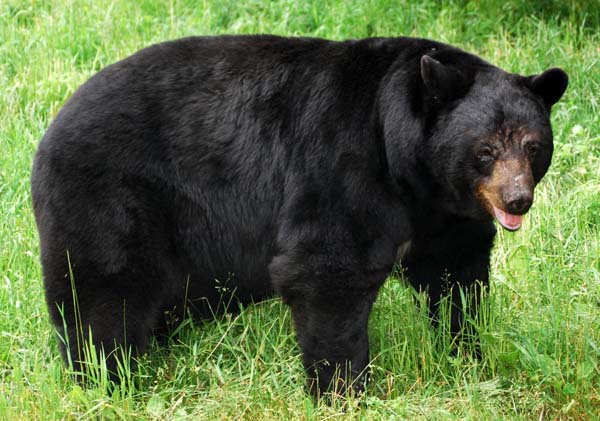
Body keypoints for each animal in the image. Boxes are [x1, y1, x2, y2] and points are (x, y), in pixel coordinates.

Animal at [31, 34, 568, 396]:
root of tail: (49, 132)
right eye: (485, 150)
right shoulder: (342, 165)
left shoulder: (443, 214)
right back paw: (105, 377)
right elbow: (326, 268)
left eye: (533, 146)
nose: (517, 200)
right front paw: (344, 389)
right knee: (103, 292)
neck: (409, 164)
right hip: (111, 199)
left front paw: (467, 355)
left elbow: (457, 276)